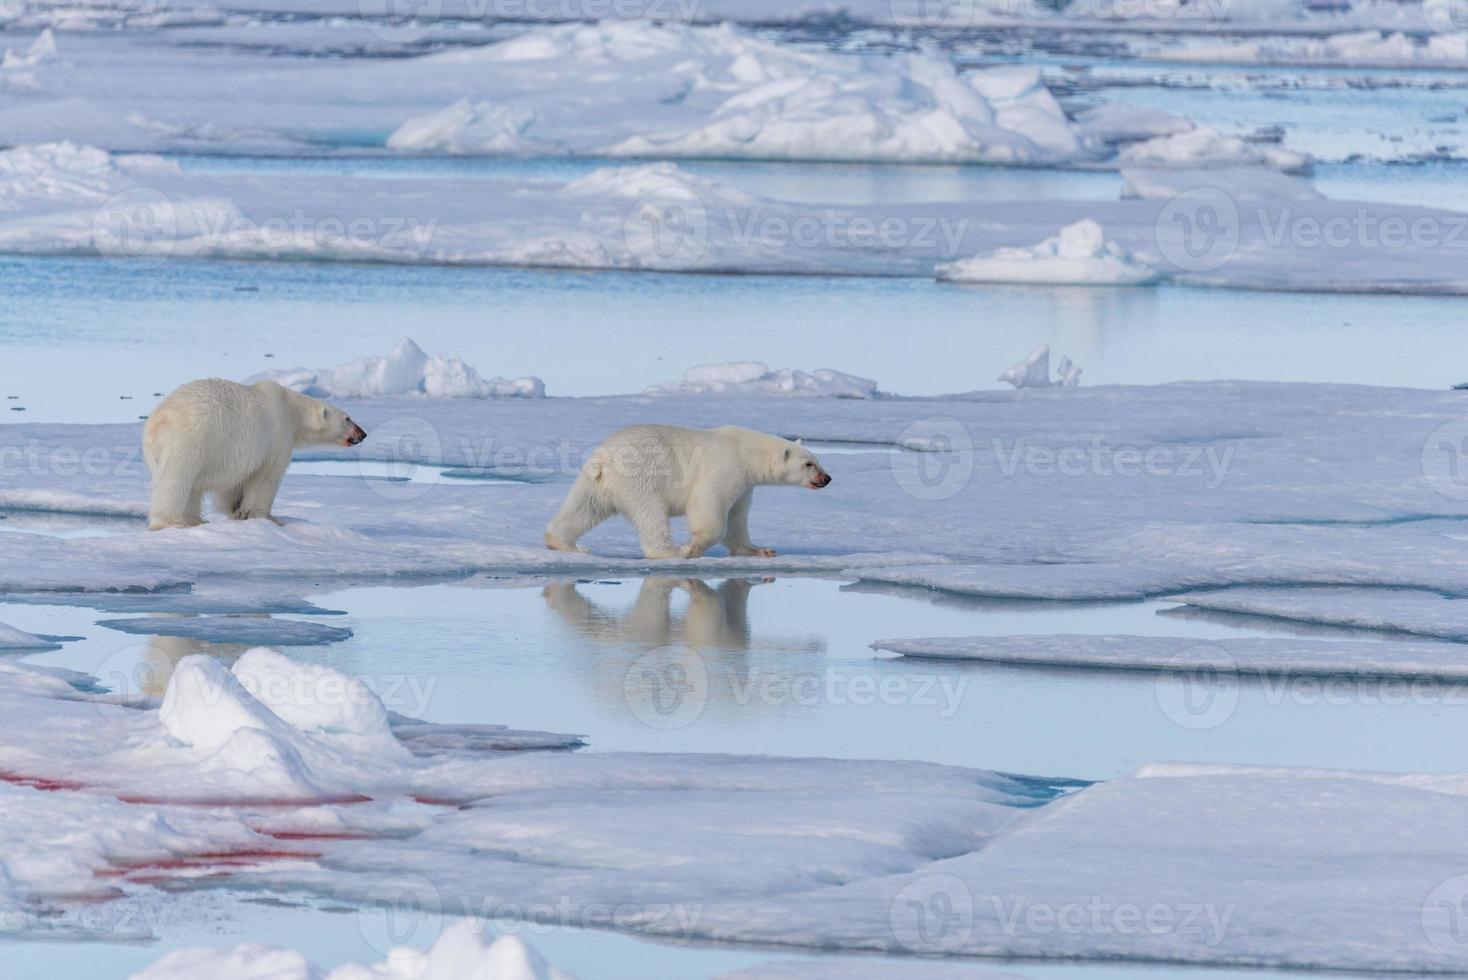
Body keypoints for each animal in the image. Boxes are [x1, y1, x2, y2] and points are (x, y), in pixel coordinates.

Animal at [141, 378, 365, 531]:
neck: (291, 407)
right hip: (189, 440)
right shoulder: (278, 435)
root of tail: (156, 423)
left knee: (191, 488)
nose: (362, 433)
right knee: (175, 481)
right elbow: (266, 479)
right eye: (348, 418)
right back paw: (171, 522)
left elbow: (235, 484)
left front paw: (237, 511)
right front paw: (267, 517)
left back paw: (196, 519)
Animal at [546, 422, 833, 557]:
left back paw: (566, 544)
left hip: (596, 481)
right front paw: (691, 548)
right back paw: (669, 552)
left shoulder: (745, 485)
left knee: (584, 507)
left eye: (818, 459)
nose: (827, 478)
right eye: (809, 464)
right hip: (640, 475)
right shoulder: (725, 467)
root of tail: (605, 458)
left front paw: (760, 549)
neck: (746, 451)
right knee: (651, 512)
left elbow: (737, 517)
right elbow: (708, 504)